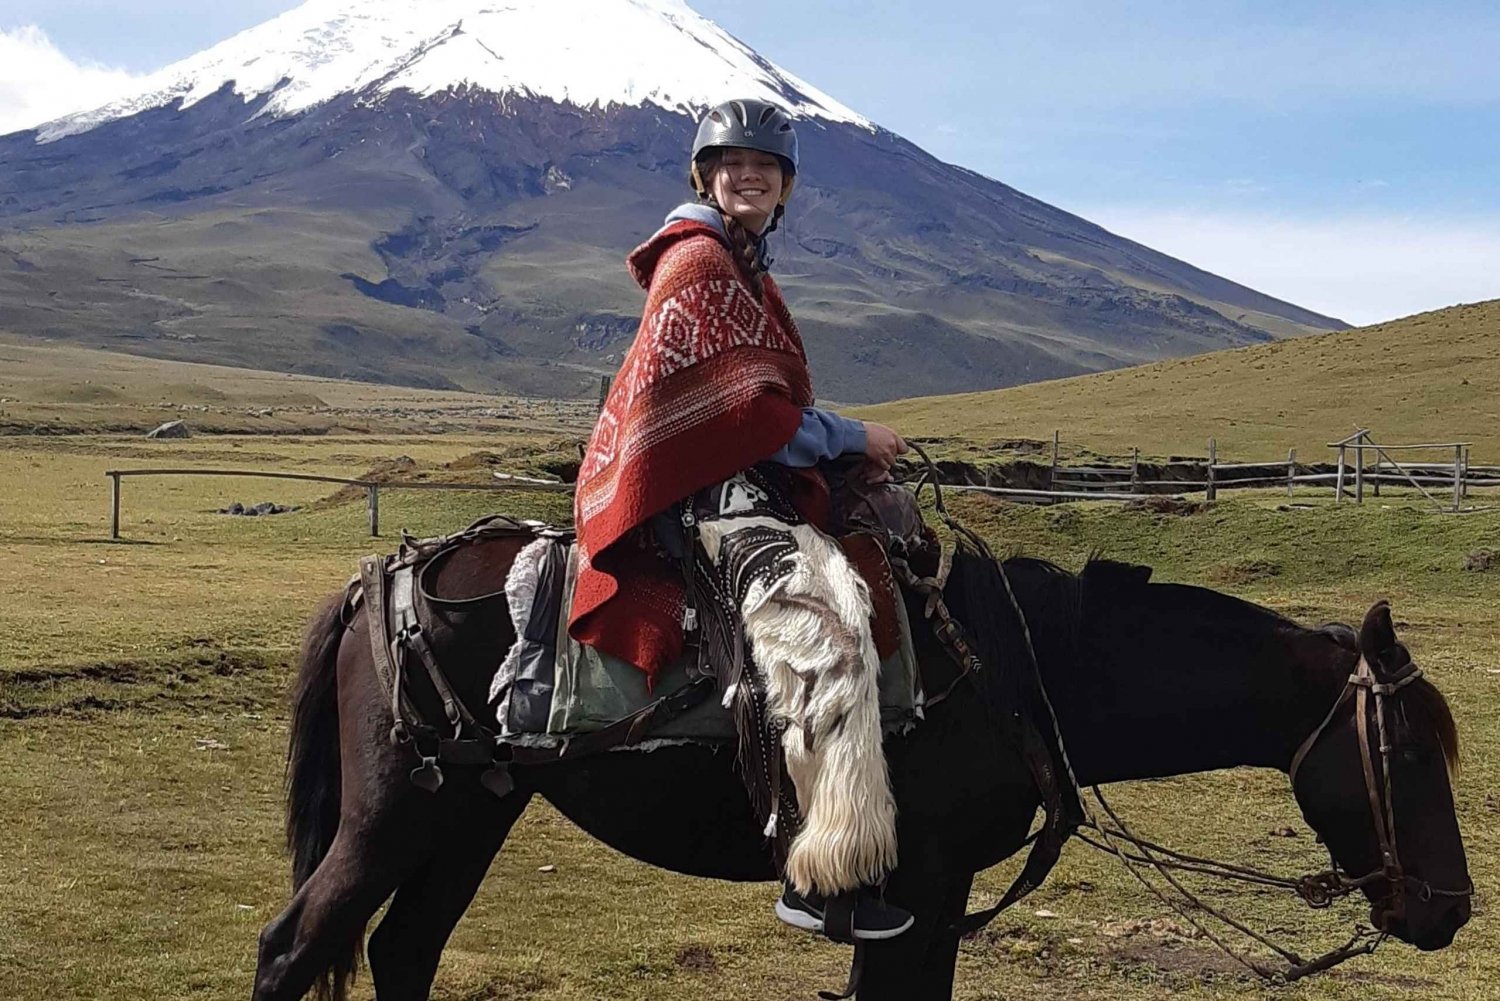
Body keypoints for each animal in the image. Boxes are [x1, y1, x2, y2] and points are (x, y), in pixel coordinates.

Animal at [252, 540, 1470, 1001]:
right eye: (1409, 750)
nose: (1451, 908)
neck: (1026, 668)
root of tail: (382, 577)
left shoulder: (926, 897)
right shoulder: (919, 887)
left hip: (472, 813)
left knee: (403, 949)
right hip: (396, 812)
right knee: (294, 946)